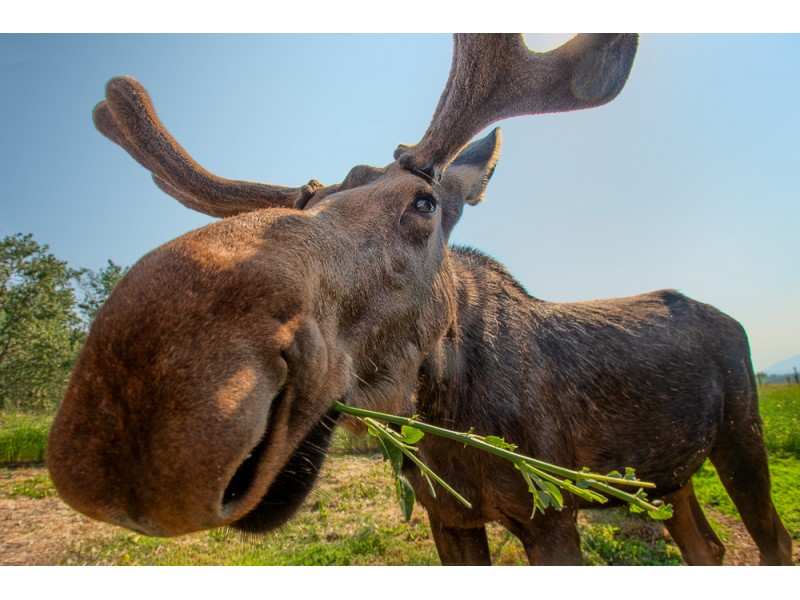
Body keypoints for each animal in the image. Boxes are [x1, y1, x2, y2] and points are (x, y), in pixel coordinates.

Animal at [46, 34, 793, 566]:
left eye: (425, 203)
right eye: (307, 205)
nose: (143, 420)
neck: (450, 414)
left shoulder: (552, 514)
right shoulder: (448, 517)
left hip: (742, 431)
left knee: (774, 540)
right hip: (669, 477)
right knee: (707, 548)